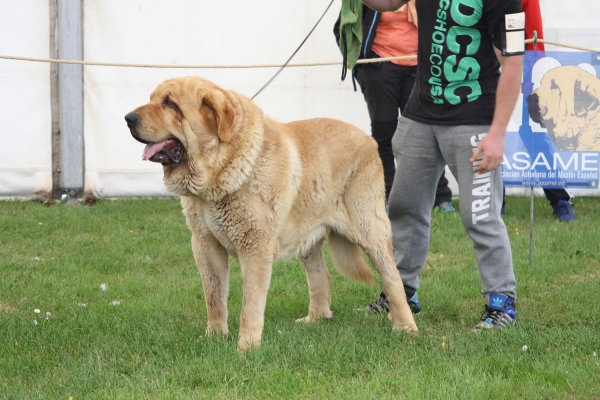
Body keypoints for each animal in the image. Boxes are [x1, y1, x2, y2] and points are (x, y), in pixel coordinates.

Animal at [125, 76, 418, 350]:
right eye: (152, 99)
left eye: (170, 104)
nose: (128, 118)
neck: (220, 169)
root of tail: (368, 138)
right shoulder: (205, 245)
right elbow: (214, 297)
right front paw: (214, 338)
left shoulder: (255, 247)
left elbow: (250, 304)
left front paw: (246, 347)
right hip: (307, 237)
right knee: (320, 278)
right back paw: (315, 319)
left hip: (369, 228)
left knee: (393, 279)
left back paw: (405, 326)